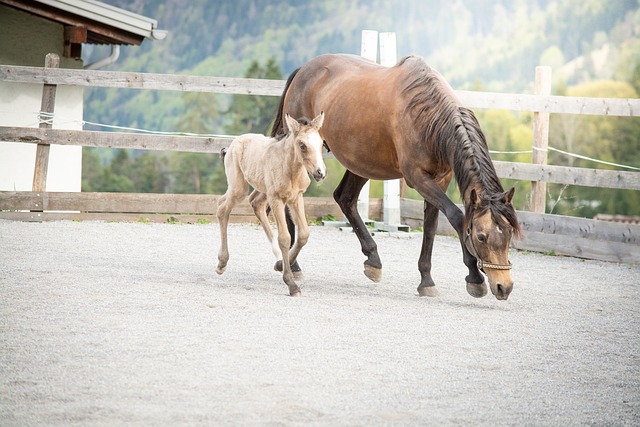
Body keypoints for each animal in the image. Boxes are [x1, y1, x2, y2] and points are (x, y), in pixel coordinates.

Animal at [272, 53, 520, 300]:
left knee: (345, 198)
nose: (504, 287)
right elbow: (457, 217)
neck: (427, 116)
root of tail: (304, 69)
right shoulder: (418, 178)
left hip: (362, 163)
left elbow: (430, 227)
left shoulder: (440, 179)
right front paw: (475, 278)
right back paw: (292, 265)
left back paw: (372, 259)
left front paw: (426, 280)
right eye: (481, 237)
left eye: (509, 234)